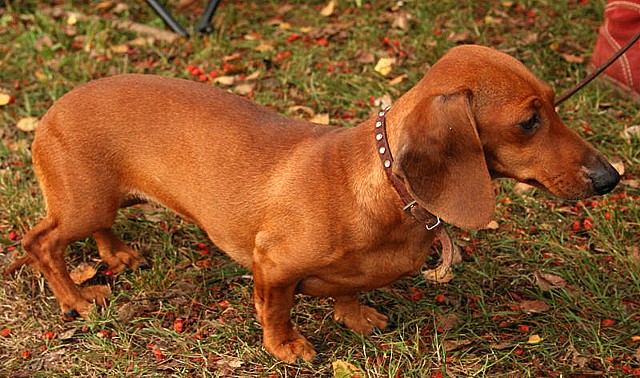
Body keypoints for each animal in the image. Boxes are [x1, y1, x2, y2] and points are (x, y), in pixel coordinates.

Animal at [8, 45, 620, 364]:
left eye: (554, 103)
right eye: (528, 121)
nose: (611, 177)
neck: (383, 189)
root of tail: (50, 112)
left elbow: (349, 291)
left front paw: (356, 317)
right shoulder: (273, 266)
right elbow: (276, 309)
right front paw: (287, 347)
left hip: (103, 203)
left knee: (97, 230)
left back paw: (119, 256)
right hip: (82, 205)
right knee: (42, 242)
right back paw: (77, 299)